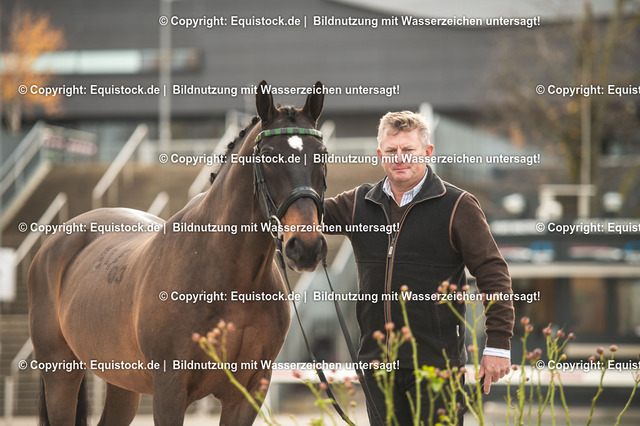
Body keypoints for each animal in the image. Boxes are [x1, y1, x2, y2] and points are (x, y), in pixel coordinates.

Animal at [28, 80, 329, 425]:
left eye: (322, 154)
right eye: (267, 155)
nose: (306, 247)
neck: (230, 277)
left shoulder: (247, 394)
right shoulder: (169, 391)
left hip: (122, 383)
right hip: (61, 374)